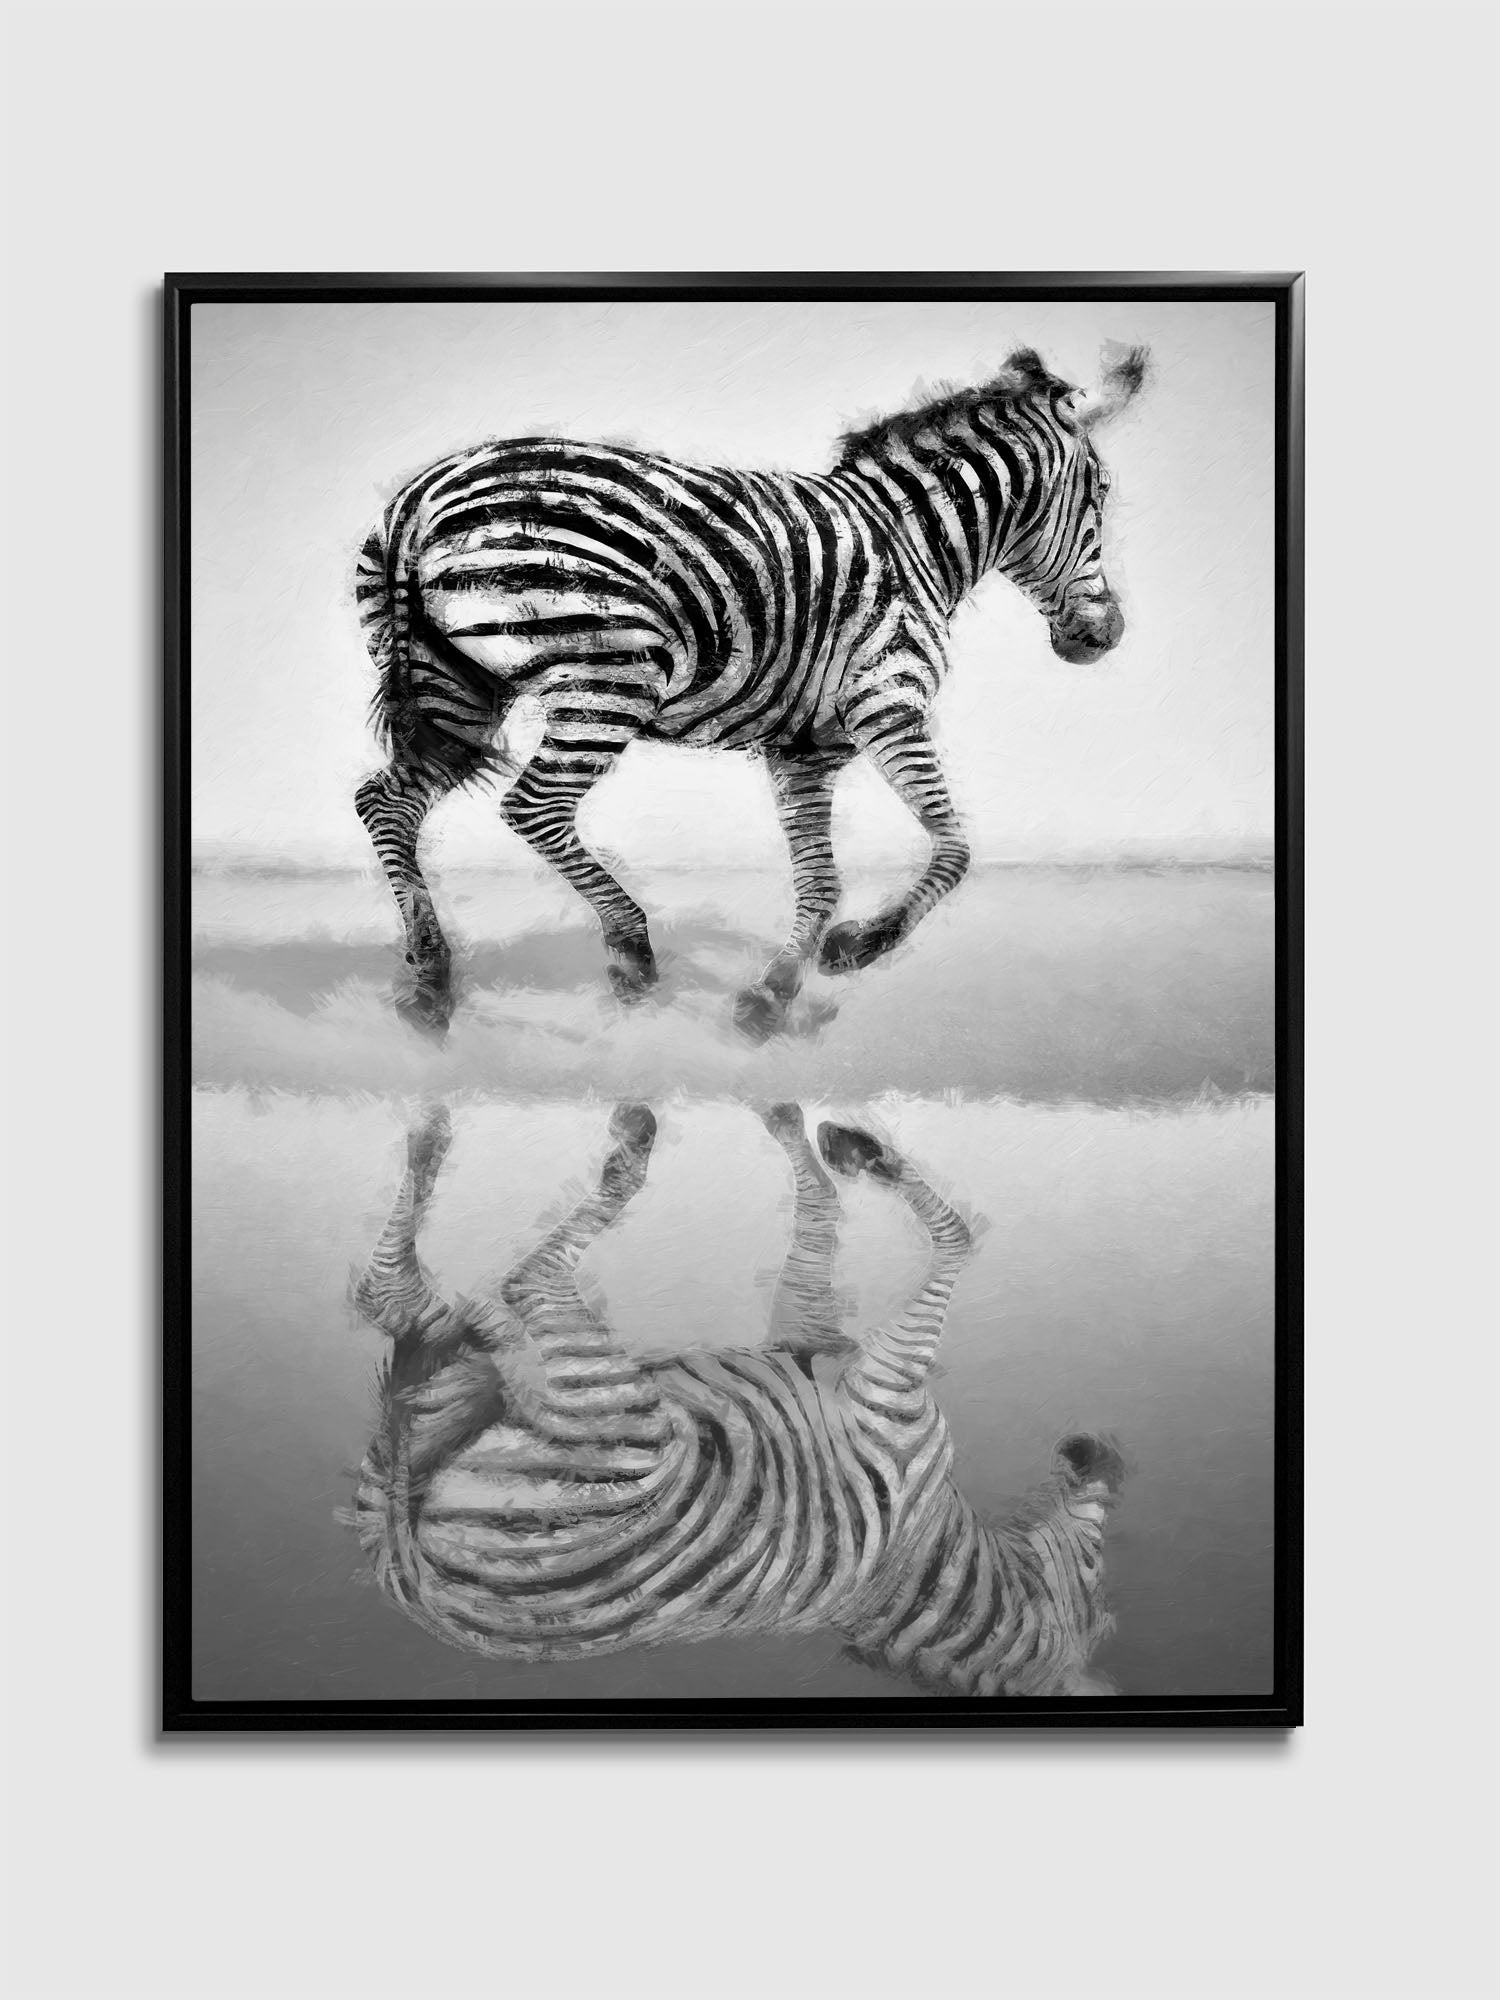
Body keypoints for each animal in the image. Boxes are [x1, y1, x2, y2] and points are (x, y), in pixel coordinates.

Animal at [344, 1100, 1126, 1697]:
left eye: (1095, 1569)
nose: (1096, 1450)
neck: (926, 1556)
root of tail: (415, 1576)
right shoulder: (818, 1339)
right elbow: (822, 1220)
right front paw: (814, 1132)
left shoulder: (891, 1392)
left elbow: (955, 1237)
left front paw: (864, 1153)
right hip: (455, 1395)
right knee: (400, 1304)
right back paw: (432, 1144)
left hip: (624, 1426)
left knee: (498, 1285)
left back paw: (610, 1145)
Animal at [352, 343, 1148, 1036]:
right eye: (1103, 494)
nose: (1104, 636)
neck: (910, 541)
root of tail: (418, 498)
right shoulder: (888, 703)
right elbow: (954, 851)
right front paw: (856, 949)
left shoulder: (805, 748)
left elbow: (820, 881)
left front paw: (774, 995)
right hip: (609, 679)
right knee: (533, 808)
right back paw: (630, 950)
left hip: (457, 689)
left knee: (385, 801)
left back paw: (431, 975)